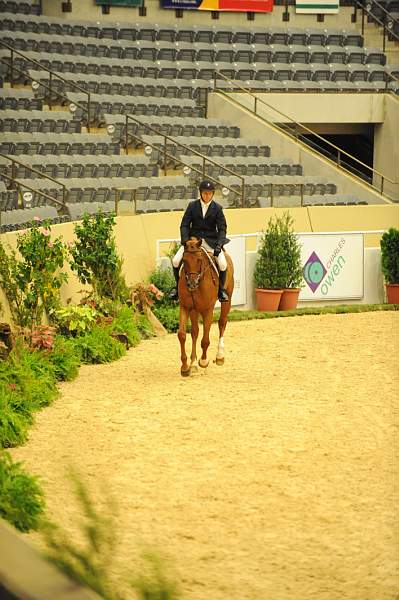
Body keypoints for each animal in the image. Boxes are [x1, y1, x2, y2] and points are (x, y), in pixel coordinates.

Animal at [178, 237, 234, 378]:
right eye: (184, 260)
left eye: (199, 259)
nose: (191, 284)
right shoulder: (185, 307)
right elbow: (182, 335)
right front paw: (185, 366)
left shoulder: (208, 310)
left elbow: (205, 340)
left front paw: (203, 361)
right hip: (194, 310)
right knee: (195, 332)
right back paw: (192, 363)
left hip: (227, 300)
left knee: (222, 322)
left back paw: (220, 356)